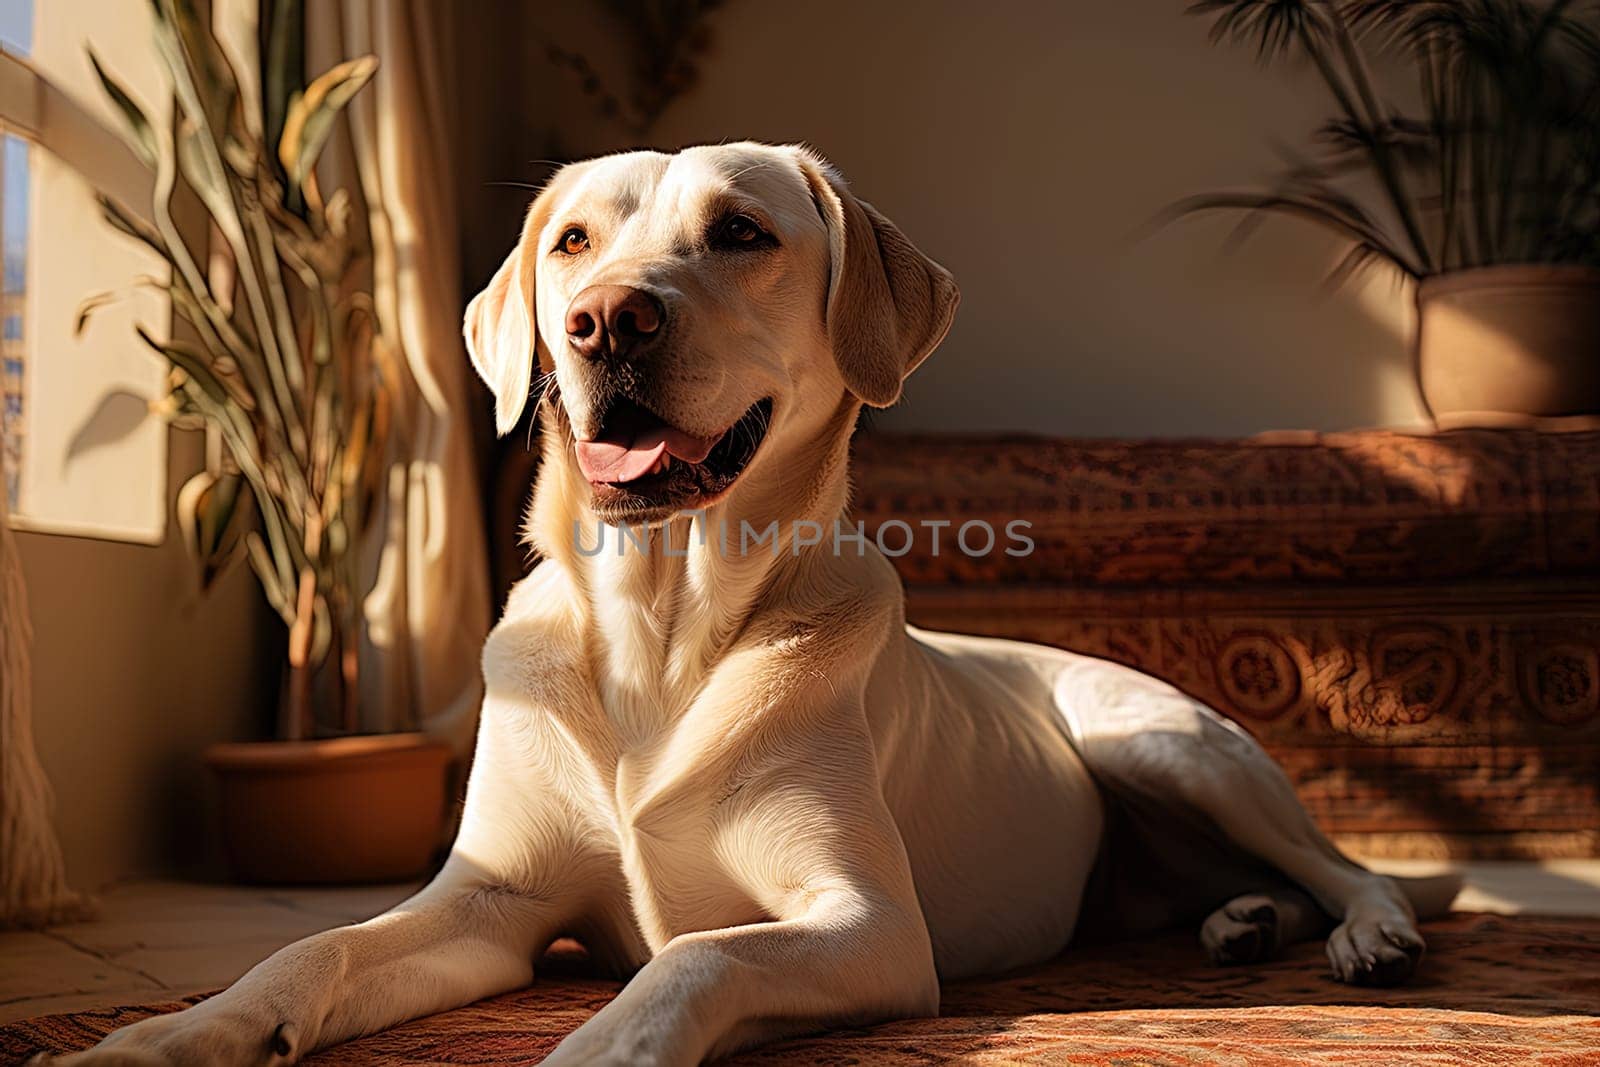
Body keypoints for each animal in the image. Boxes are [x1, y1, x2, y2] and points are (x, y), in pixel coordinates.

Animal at [59, 143, 1465, 1067]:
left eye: (740, 231)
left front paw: (596, 1050)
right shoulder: (491, 903)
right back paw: (1239, 918)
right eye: (572, 240)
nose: (603, 320)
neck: (657, 623)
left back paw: (1365, 937)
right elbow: (312, 949)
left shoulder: (870, 927)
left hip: (1167, 744)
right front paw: (174, 1032)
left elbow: (700, 950)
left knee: (1347, 864)